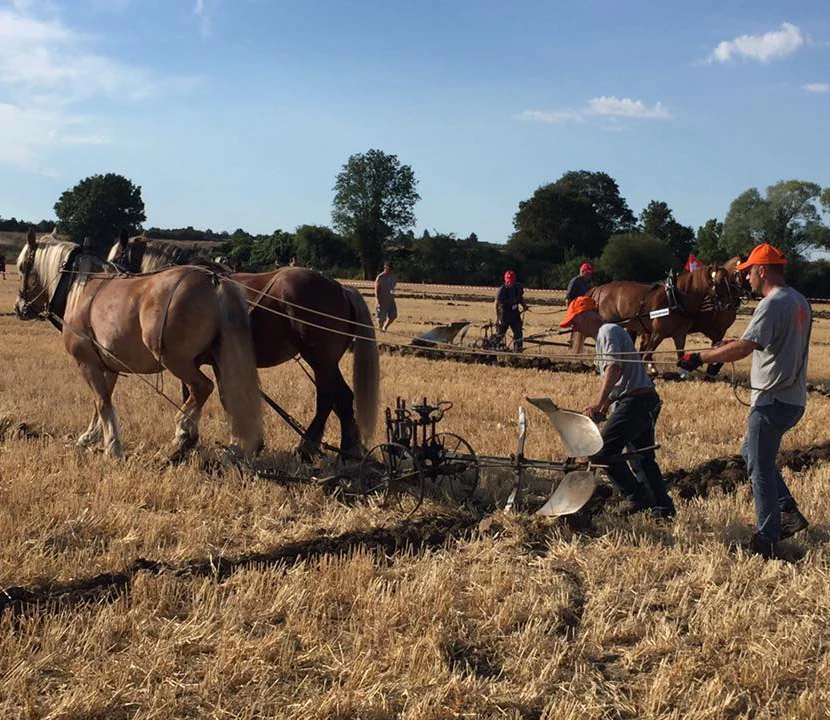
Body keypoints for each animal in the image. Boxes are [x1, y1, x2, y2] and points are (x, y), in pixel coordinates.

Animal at [16, 228, 264, 458]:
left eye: (22, 268)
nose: (19, 307)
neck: (81, 288)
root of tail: (215, 282)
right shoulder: (108, 366)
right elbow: (102, 401)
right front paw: (92, 436)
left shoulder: (87, 364)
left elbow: (103, 402)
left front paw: (113, 446)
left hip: (176, 360)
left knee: (202, 387)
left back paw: (183, 430)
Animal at [109, 232, 382, 456]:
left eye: (117, 258)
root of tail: (342, 289)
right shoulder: (218, 361)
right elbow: (226, 398)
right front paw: (245, 442)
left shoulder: (189, 359)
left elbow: (198, 394)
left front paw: (188, 439)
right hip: (322, 362)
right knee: (332, 398)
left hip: (320, 359)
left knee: (337, 398)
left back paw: (327, 448)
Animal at [580, 262, 744, 374]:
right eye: (719, 282)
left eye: (730, 280)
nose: (730, 304)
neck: (676, 298)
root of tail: (600, 288)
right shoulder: (658, 333)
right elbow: (647, 354)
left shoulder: (680, 334)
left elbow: (680, 355)